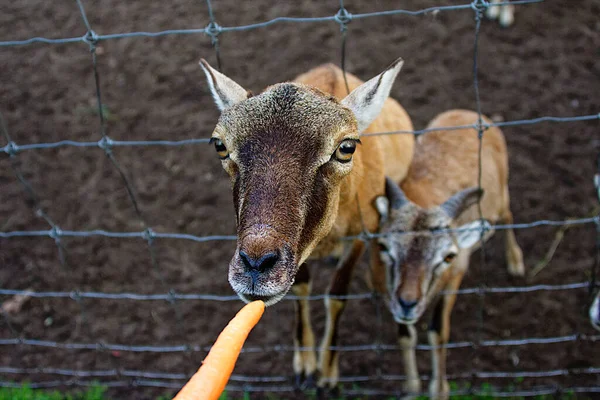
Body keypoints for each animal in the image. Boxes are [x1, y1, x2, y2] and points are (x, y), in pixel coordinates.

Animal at [199, 57, 414, 392]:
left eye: (346, 147)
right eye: (220, 145)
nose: (255, 266)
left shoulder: (360, 235)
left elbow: (337, 295)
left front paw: (327, 376)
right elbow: (301, 286)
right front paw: (305, 365)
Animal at [372, 108, 524, 398]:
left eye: (448, 256)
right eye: (384, 247)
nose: (408, 303)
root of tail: (471, 114)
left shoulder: (454, 277)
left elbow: (438, 332)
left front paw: (439, 390)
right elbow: (405, 334)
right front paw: (411, 387)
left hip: (502, 196)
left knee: (509, 213)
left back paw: (515, 262)